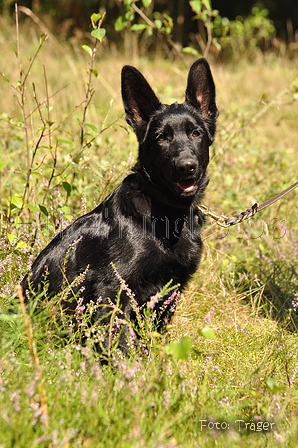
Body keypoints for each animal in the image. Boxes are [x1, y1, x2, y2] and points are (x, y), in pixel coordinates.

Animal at [19, 58, 218, 344]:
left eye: (196, 133)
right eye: (162, 138)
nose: (186, 167)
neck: (165, 213)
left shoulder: (168, 294)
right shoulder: (111, 290)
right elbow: (118, 343)